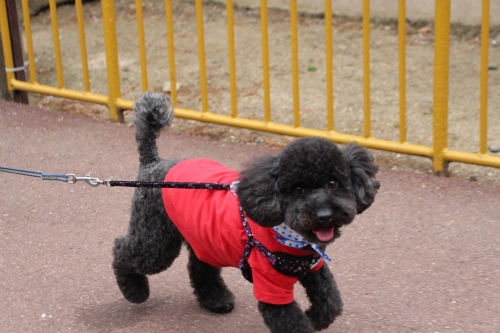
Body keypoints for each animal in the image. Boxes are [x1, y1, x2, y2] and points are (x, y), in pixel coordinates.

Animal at [112, 91, 378, 332]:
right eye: (297, 189)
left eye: (333, 183)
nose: (324, 215)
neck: (290, 235)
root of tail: (153, 163)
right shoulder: (270, 284)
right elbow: (294, 322)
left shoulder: (312, 266)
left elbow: (331, 302)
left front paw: (314, 317)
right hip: (157, 240)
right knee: (122, 249)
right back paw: (134, 290)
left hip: (205, 237)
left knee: (199, 266)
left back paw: (215, 299)